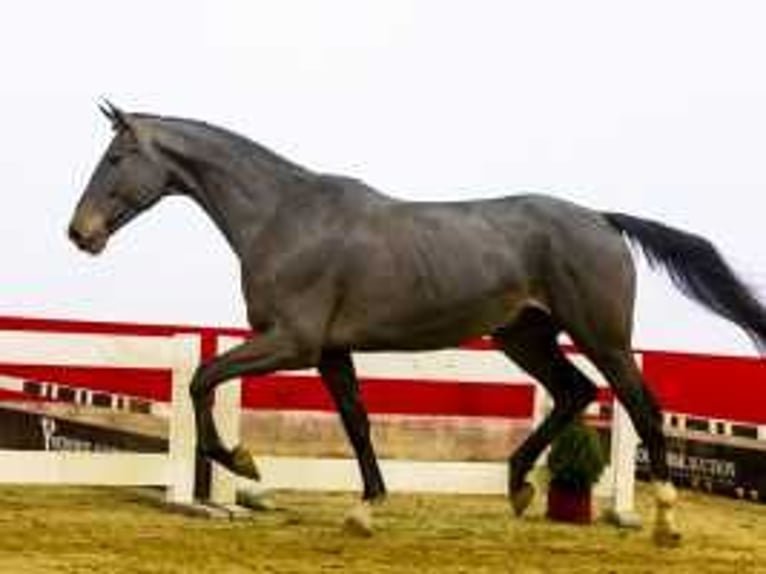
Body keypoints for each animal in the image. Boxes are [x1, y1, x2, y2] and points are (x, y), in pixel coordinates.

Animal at [67, 101, 766, 548]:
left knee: (641, 406)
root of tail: (602, 219)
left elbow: (202, 379)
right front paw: (365, 510)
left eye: (116, 156)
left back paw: (666, 522)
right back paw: (518, 486)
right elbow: (355, 421)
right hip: (525, 335)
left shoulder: (291, 342)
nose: (80, 233)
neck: (285, 217)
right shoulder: (330, 351)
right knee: (575, 392)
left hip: (603, 336)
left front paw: (242, 461)